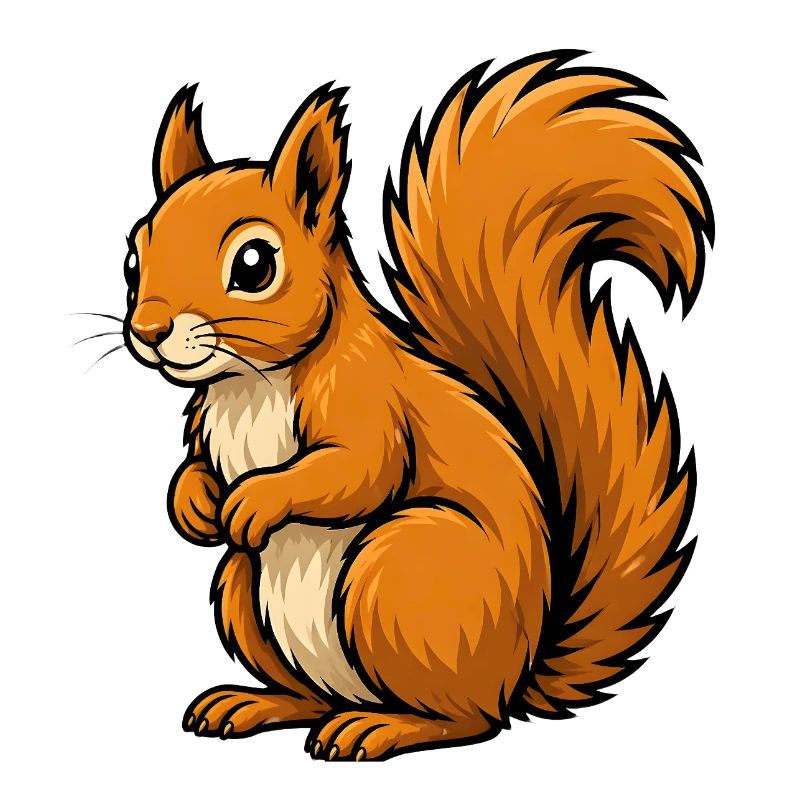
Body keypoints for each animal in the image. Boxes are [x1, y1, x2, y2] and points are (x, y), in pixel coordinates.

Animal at [121, 51, 712, 760]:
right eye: (133, 256)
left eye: (255, 264)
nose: (148, 331)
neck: (250, 383)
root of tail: (518, 673)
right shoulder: (208, 423)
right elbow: (194, 471)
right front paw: (195, 504)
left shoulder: (367, 397)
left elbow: (359, 471)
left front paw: (256, 499)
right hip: (245, 591)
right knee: (313, 693)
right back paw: (255, 703)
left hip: (400, 571)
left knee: (469, 721)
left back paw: (379, 727)